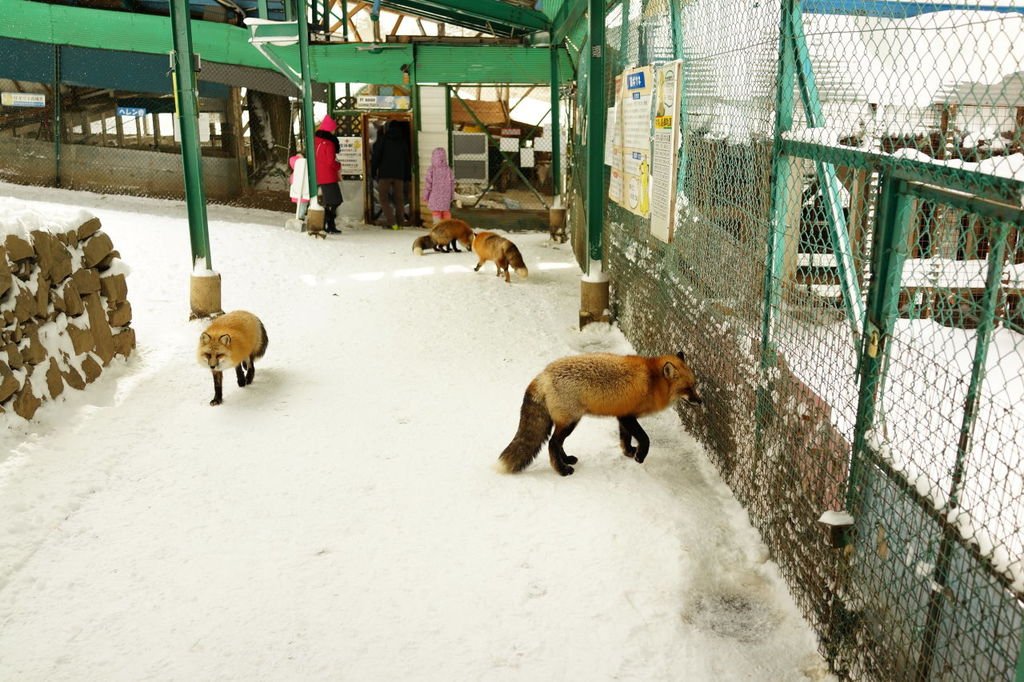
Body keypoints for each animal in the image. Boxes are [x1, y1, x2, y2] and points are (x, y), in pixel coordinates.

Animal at [497, 350, 704, 473]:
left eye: (695, 385)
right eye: (687, 388)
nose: (700, 401)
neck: (652, 382)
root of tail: (543, 374)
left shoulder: (623, 415)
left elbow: (625, 438)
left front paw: (629, 452)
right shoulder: (627, 416)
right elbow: (645, 438)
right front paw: (639, 456)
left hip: (570, 421)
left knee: (558, 443)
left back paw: (567, 460)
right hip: (570, 421)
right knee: (552, 444)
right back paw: (562, 470)